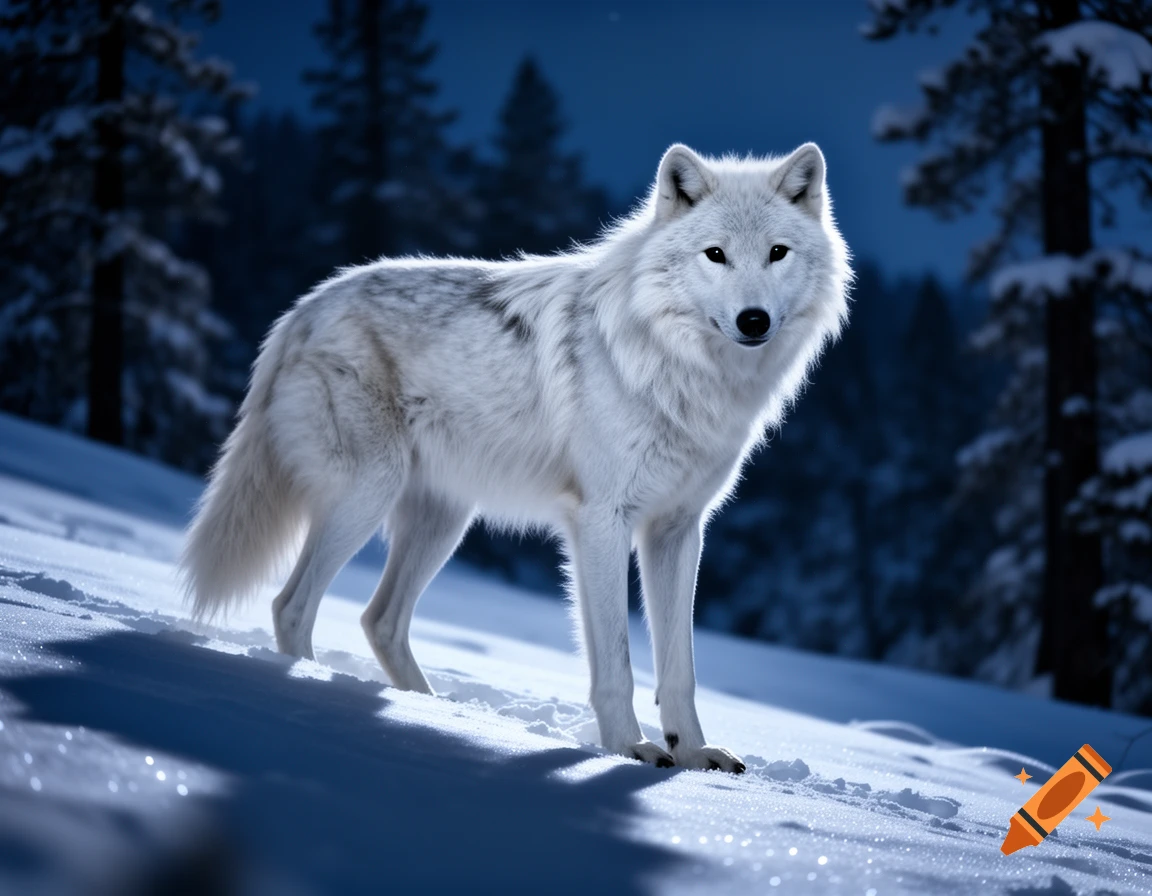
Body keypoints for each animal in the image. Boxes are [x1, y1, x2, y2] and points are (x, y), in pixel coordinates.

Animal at [181, 142, 851, 772]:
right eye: (715, 254)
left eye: (777, 253)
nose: (753, 320)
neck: (679, 369)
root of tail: (302, 310)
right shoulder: (602, 521)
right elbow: (618, 661)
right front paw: (629, 750)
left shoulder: (678, 530)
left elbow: (679, 668)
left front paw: (690, 755)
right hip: (368, 497)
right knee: (292, 606)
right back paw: (314, 697)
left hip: (443, 521)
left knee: (380, 620)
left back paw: (430, 710)